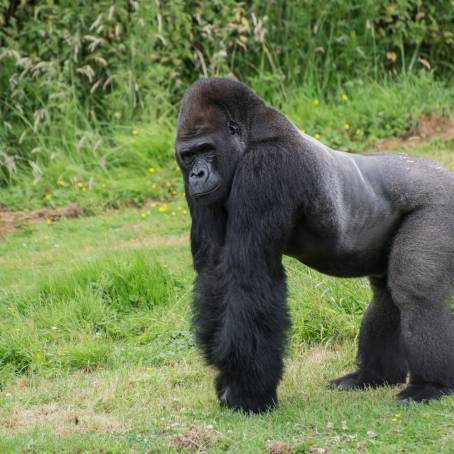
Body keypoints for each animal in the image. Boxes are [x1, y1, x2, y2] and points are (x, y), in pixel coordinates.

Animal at [175, 79, 454, 414]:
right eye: (188, 155)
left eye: (207, 150)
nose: (197, 174)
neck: (251, 135)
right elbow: (215, 271)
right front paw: (232, 380)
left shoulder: (267, 167)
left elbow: (249, 276)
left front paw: (248, 390)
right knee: (386, 295)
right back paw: (371, 376)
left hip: (441, 205)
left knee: (415, 294)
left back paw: (430, 385)